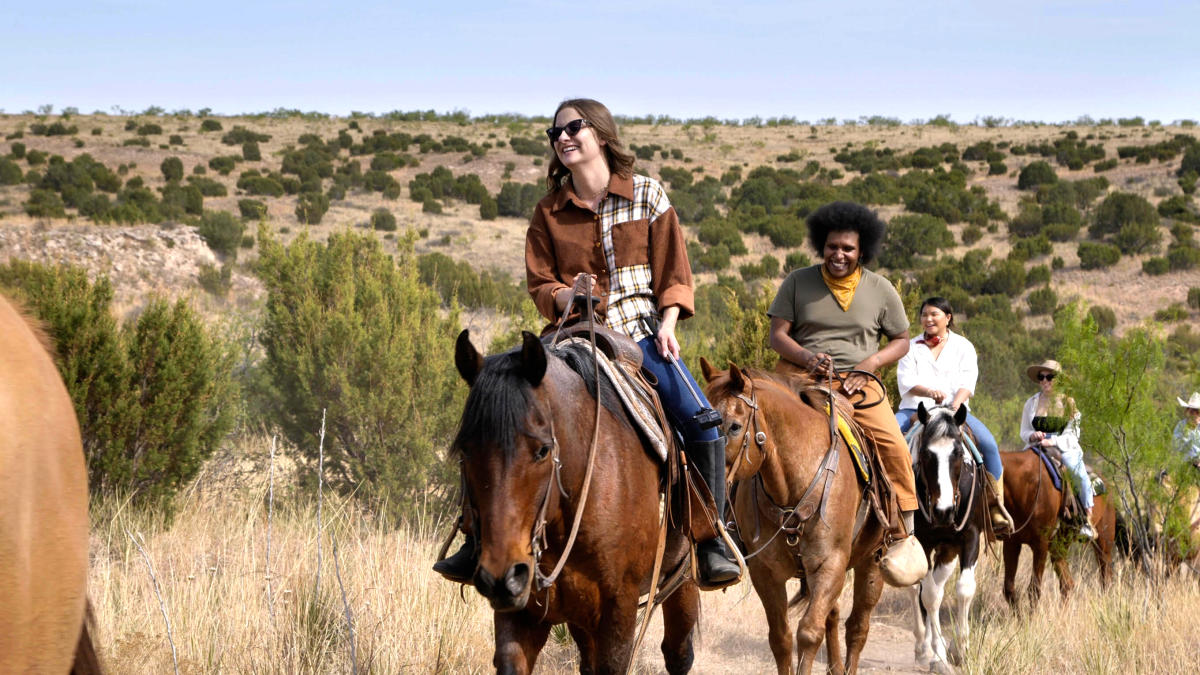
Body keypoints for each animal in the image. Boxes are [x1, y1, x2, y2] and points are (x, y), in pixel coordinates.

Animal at [451, 331, 700, 672]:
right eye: (465, 450)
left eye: (543, 450)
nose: (501, 576)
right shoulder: (522, 612)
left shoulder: (619, 611)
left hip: (682, 580)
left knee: (678, 653)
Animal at [700, 362, 888, 672]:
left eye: (734, 426)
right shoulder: (766, 572)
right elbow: (781, 638)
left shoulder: (830, 565)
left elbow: (809, 633)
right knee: (834, 617)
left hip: (872, 561)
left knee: (858, 627)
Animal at [907, 398, 984, 667]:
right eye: (926, 454)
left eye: (958, 453)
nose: (944, 511)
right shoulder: (922, 541)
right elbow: (929, 595)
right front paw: (937, 651)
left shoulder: (971, 537)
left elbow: (964, 589)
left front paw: (961, 648)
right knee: (918, 589)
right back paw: (924, 646)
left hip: (948, 552)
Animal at [993, 446, 1113, 605]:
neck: (1024, 485)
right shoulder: (1012, 543)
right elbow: (1009, 590)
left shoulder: (1040, 544)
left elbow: (1034, 590)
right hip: (1058, 548)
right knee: (1067, 584)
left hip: (1104, 544)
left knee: (1105, 579)